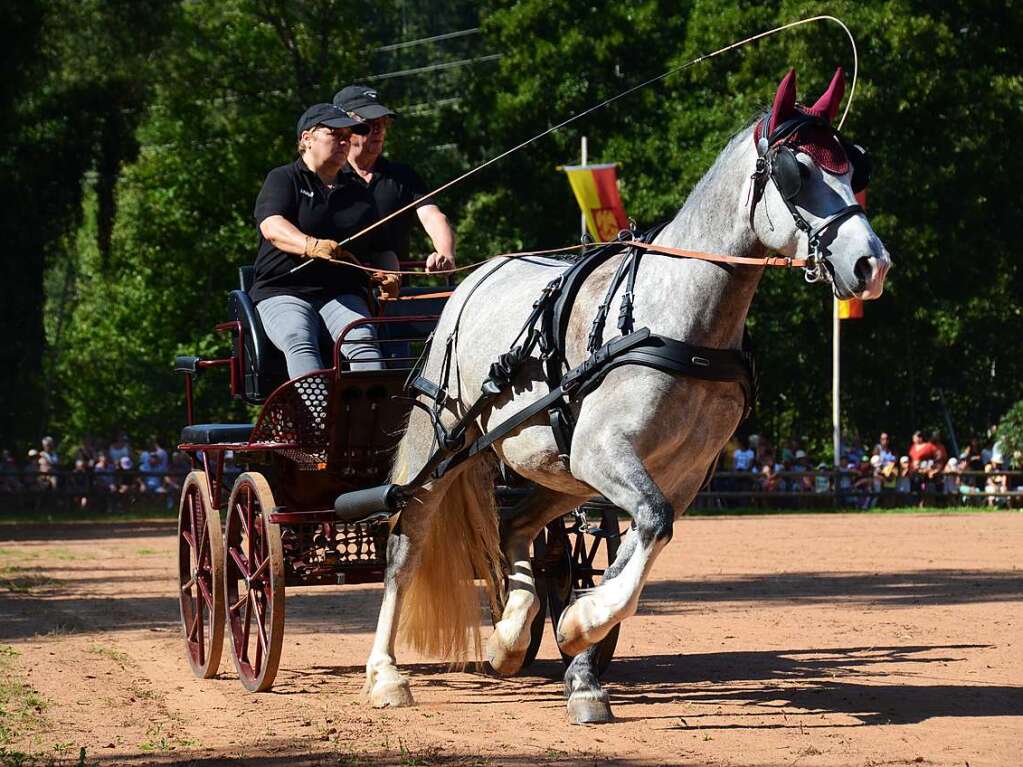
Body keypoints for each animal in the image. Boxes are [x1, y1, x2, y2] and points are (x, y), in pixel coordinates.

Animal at [364, 69, 892, 724]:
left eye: (855, 167)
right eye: (799, 171)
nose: (872, 265)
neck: (680, 324)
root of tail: (474, 278)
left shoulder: (678, 474)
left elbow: (639, 546)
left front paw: (581, 655)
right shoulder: (607, 451)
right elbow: (650, 528)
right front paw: (579, 625)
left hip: (559, 470)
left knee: (514, 526)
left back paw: (512, 634)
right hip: (446, 445)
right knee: (405, 543)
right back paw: (386, 673)